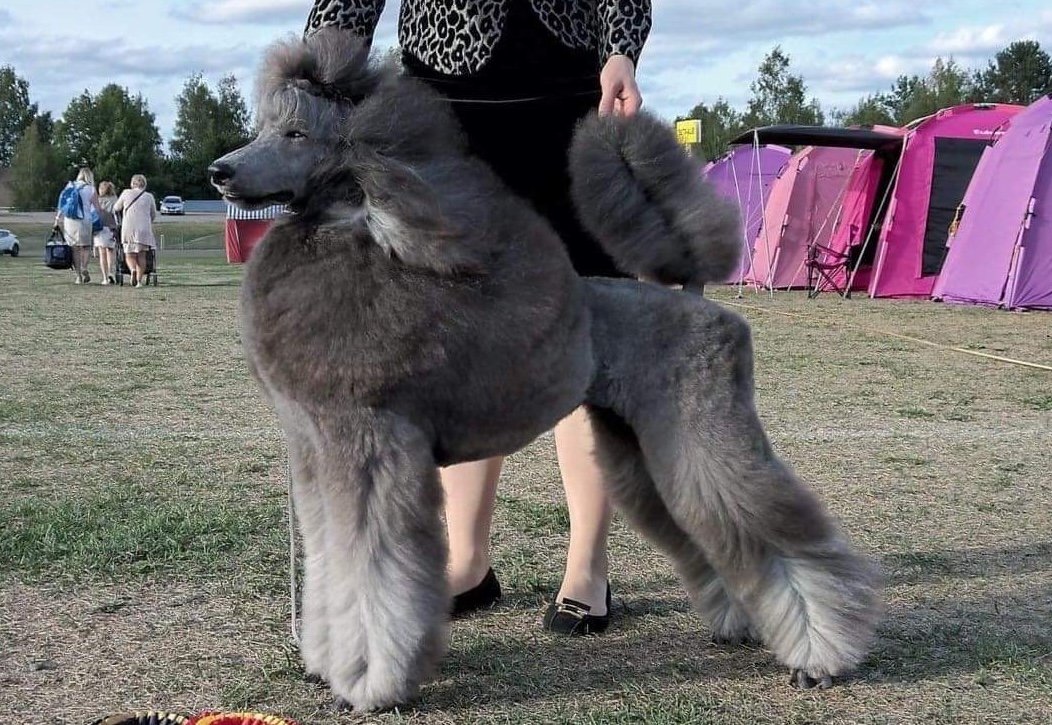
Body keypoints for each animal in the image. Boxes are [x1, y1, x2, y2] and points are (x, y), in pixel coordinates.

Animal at [209, 28, 882, 712]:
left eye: (296, 134)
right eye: (264, 129)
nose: (220, 173)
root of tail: (696, 300)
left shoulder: (370, 448)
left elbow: (370, 572)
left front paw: (372, 682)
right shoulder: (319, 455)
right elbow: (329, 560)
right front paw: (327, 662)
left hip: (702, 434)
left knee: (774, 531)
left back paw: (821, 655)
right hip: (644, 446)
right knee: (709, 530)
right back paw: (743, 626)